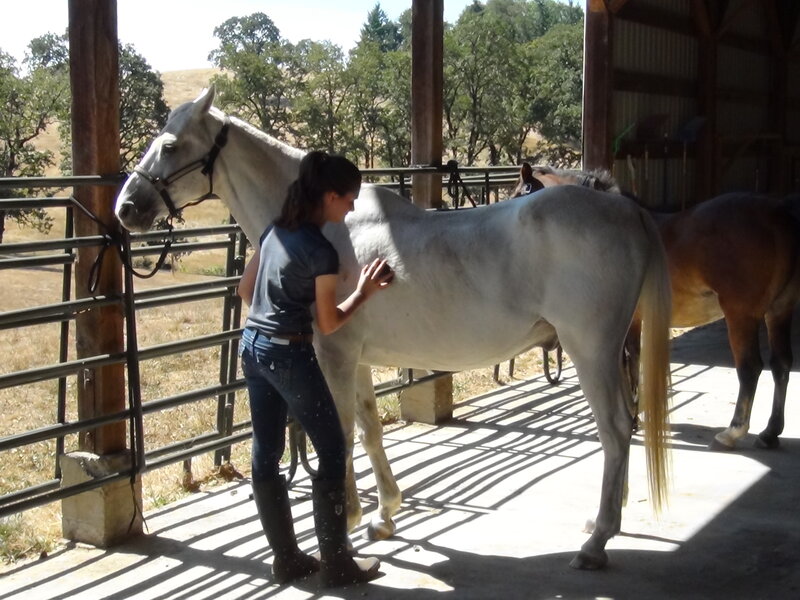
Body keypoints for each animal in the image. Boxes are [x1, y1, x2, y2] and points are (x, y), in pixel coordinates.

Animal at [115, 88, 672, 570]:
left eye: (170, 144)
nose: (126, 207)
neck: (326, 226)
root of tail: (628, 210)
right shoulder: (356, 358)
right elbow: (369, 430)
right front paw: (382, 516)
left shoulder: (334, 357)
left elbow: (337, 434)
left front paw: (347, 522)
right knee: (623, 425)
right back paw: (604, 521)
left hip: (590, 349)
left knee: (616, 427)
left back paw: (597, 543)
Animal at [517, 165, 800, 450]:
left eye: (521, 192)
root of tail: (779, 213)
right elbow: (633, 361)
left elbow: (628, 363)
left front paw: (632, 419)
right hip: (779, 310)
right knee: (781, 365)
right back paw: (770, 433)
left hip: (741, 315)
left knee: (750, 368)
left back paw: (732, 432)